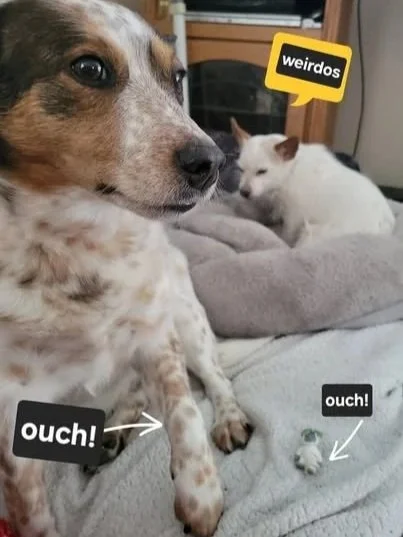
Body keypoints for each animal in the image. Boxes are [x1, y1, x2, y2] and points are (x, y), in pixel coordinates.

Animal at [0, 2, 253, 536]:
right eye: (89, 68)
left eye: (177, 77)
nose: (214, 162)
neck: (76, 236)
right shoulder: (9, 405)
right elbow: (31, 510)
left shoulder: (158, 336)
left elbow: (184, 413)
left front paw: (201, 496)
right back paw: (115, 425)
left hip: (188, 320)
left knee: (215, 378)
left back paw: (226, 418)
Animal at [230, 118, 396, 247]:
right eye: (240, 169)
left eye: (262, 171)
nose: (244, 192)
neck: (291, 171)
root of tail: (386, 227)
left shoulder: (294, 215)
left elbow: (286, 234)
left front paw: (282, 240)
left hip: (312, 233)